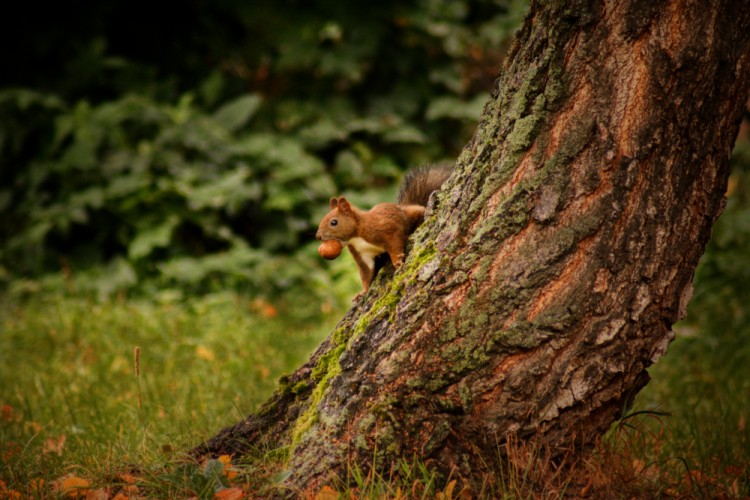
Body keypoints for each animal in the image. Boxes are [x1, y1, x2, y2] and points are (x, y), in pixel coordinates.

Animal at [318, 164, 452, 298]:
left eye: (334, 222)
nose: (318, 236)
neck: (356, 237)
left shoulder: (385, 229)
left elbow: (394, 243)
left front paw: (397, 262)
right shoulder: (361, 254)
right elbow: (366, 272)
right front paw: (363, 292)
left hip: (410, 215)